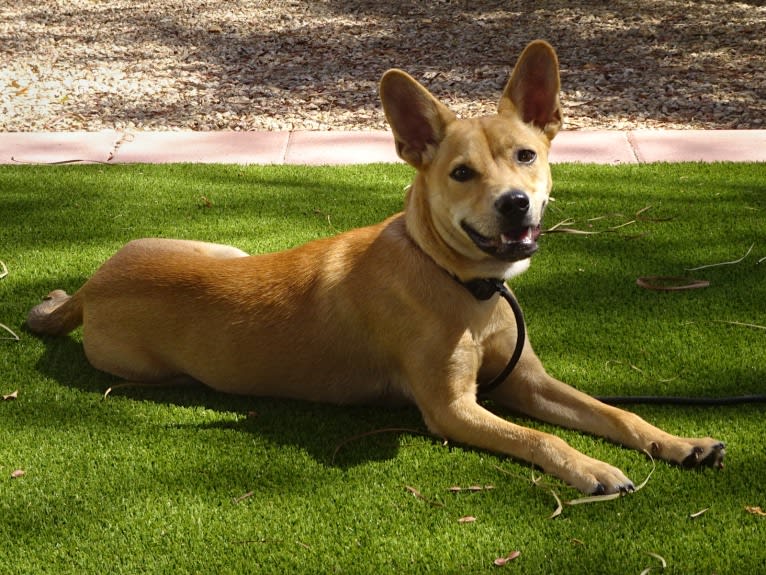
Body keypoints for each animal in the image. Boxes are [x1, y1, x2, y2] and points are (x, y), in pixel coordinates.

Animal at [28, 42, 728, 498]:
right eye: (461, 173)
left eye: (526, 155)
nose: (514, 203)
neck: (457, 281)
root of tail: (91, 285)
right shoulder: (452, 409)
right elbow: (540, 440)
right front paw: (591, 468)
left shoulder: (525, 382)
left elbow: (613, 413)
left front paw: (677, 442)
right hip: (152, 365)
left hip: (219, 249)